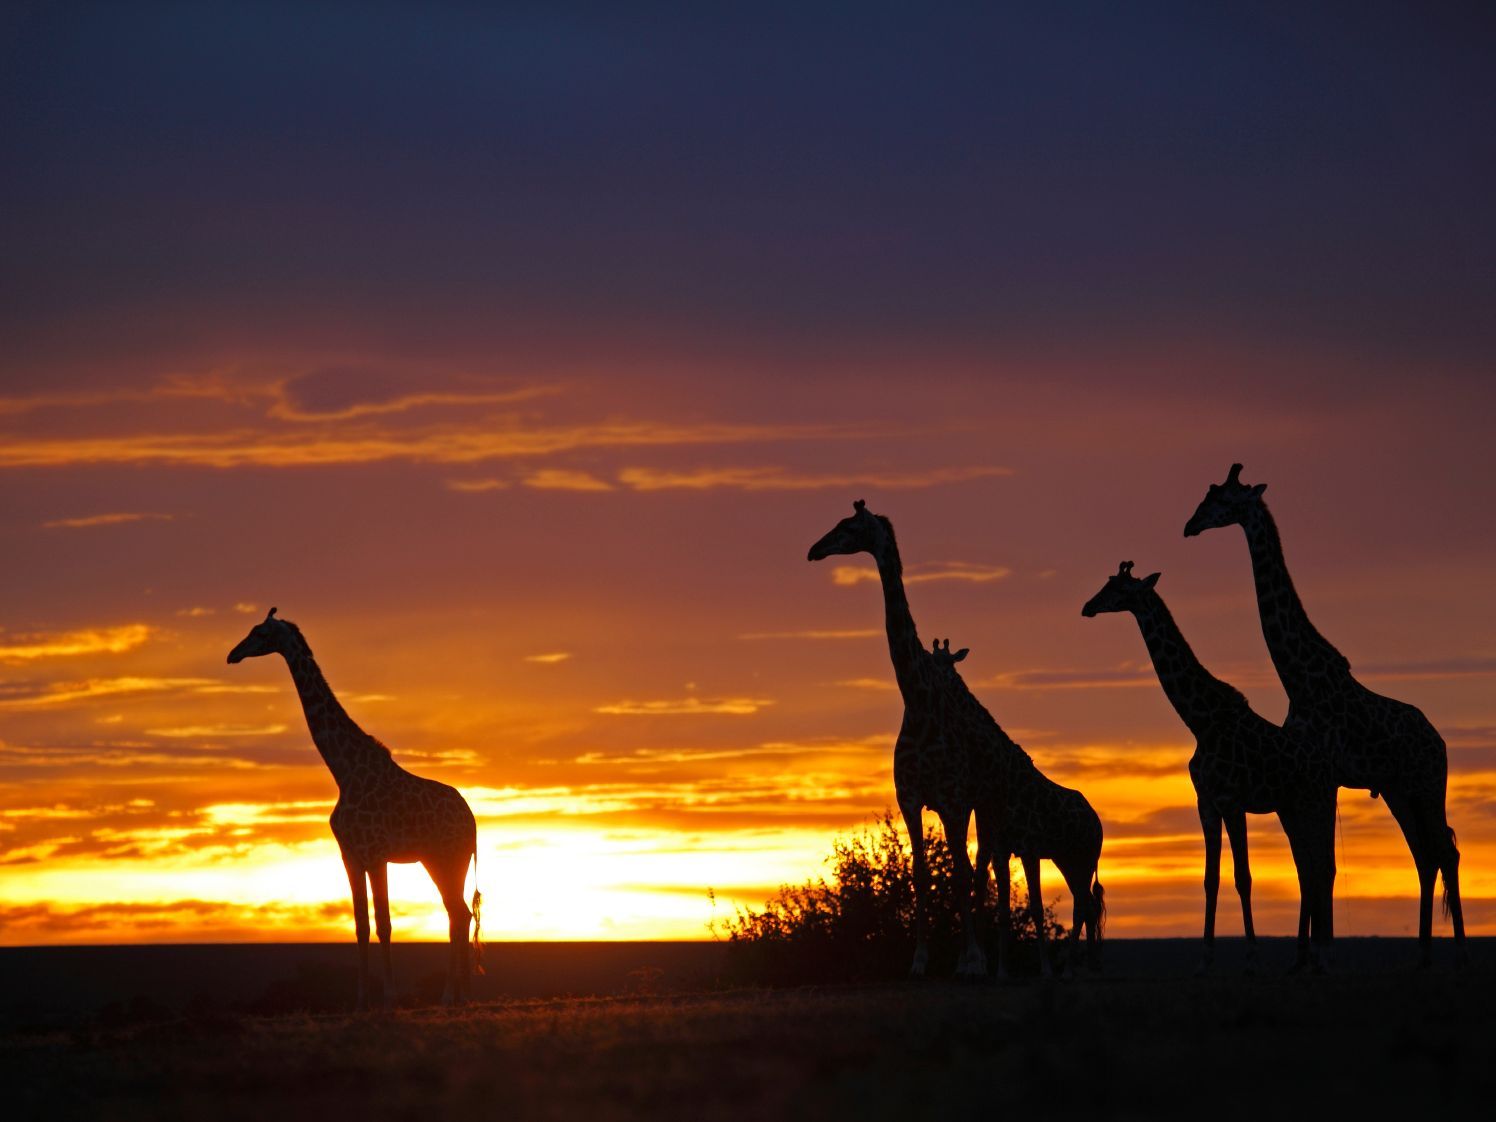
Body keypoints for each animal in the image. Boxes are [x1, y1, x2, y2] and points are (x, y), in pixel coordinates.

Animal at [228, 608, 483, 1007]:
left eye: (260, 633)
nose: (233, 654)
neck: (344, 772)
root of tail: (472, 821)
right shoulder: (349, 854)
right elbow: (361, 925)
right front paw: (362, 998)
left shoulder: (375, 854)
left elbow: (384, 923)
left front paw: (390, 996)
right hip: (435, 859)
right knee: (459, 914)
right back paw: (460, 995)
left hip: (448, 857)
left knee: (459, 914)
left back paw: (449, 996)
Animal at [929, 638, 1107, 978]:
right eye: (931, 660)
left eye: (949, 663)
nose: (935, 681)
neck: (1002, 777)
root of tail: (1097, 822)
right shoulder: (1001, 849)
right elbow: (1002, 909)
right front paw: (1001, 971)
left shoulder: (1029, 848)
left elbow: (1036, 907)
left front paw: (1046, 971)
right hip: (1067, 859)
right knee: (1086, 905)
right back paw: (1084, 967)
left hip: (1084, 857)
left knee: (1085, 905)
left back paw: (1077, 969)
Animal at [1082, 562, 1336, 972]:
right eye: (1107, 583)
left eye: (1119, 589)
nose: (1087, 607)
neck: (1201, 721)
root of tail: (1326, 763)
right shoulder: (1207, 804)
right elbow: (1210, 879)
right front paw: (1205, 958)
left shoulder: (1232, 802)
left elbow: (1243, 877)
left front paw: (1250, 957)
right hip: (1290, 808)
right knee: (1307, 870)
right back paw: (1302, 959)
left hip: (1318, 802)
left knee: (1323, 867)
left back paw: (1324, 955)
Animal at [1185, 464, 1467, 967]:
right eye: (1208, 494)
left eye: (1224, 501)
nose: (1190, 525)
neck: (1299, 680)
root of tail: (1439, 742)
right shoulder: (1312, 781)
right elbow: (1311, 865)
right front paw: (1307, 952)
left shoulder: (1324, 777)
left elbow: (1323, 865)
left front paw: (1321, 949)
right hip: (1398, 790)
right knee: (1424, 855)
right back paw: (1422, 954)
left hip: (1428, 785)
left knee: (1444, 854)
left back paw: (1460, 954)